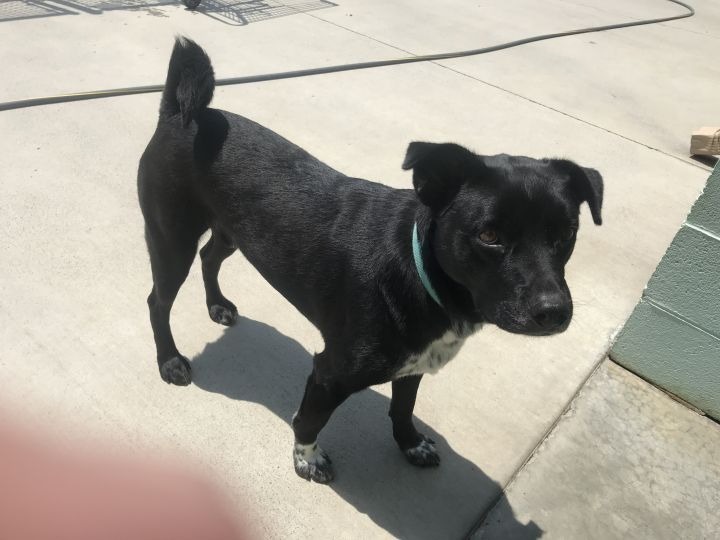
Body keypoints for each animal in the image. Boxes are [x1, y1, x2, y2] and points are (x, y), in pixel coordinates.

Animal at [138, 39, 600, 486]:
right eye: (489, 236)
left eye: (566, 234)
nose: (553, 311)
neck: (417, 271)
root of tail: (180, 114)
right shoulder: (330, 372)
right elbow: (309, 420)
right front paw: (307, 459)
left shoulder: (415, 363)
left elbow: (403, 408)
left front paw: (410, 444)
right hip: (170, 239)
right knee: (158, 301)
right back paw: (169, 360)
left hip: (230, 231)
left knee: (210, 256)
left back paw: (217, 305)